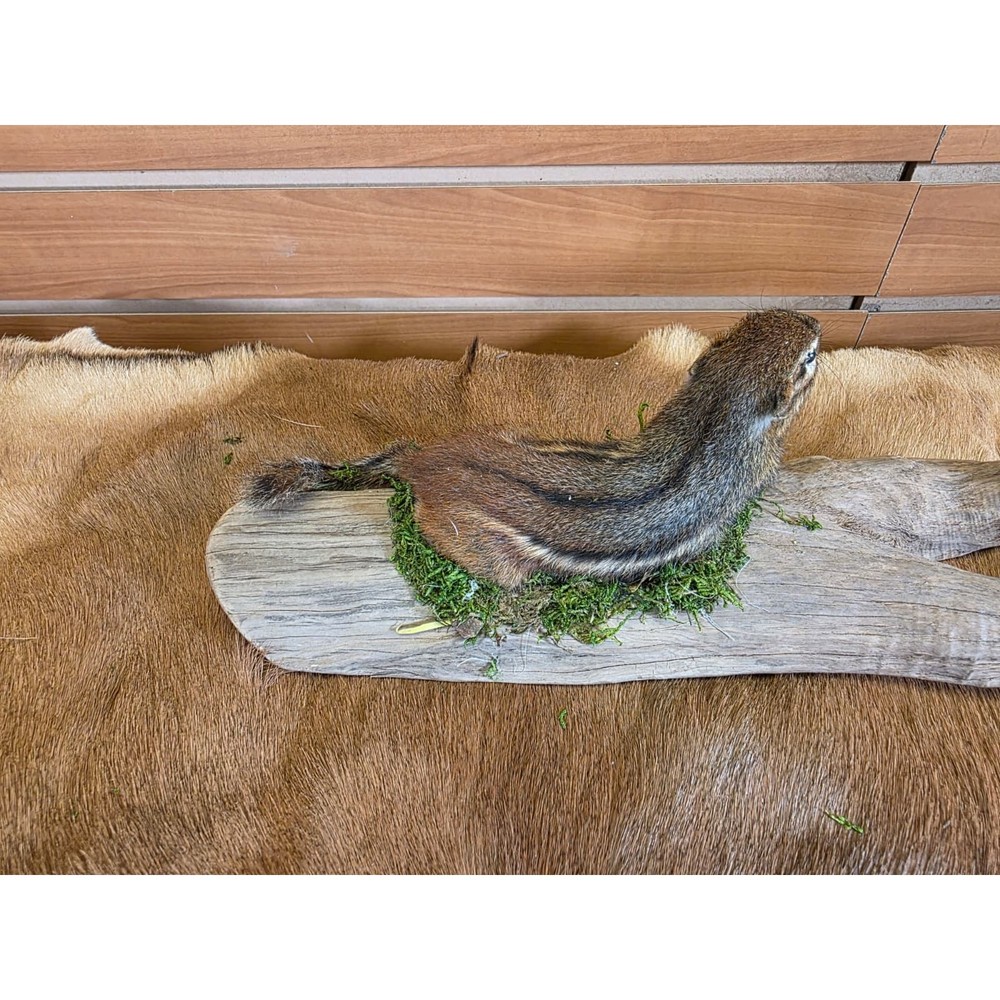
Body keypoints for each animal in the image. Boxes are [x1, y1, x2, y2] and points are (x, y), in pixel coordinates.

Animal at [245, 309, 821, 588]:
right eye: (809, 359)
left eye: (749, 320)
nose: (813, 320)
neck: (711, 412)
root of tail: (425, 462)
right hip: (488, 556)